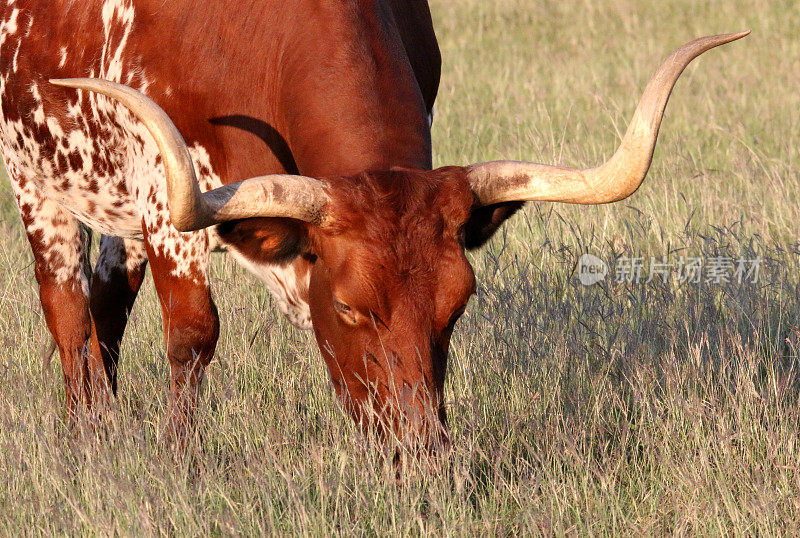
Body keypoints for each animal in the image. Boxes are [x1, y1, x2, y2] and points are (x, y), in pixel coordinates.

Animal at [0, 1, 752, 448]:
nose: (422, 456)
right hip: (35, 179)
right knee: (68, 312)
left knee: (105, 305)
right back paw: (86, 437)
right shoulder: (167, 202)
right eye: (349, 308)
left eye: (458, 306)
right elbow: (192, 334)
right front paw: (177, 462)